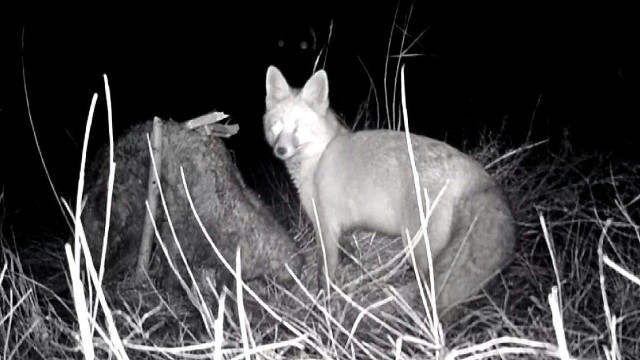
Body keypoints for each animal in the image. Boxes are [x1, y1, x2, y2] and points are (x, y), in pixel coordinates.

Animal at [262, 65, 516, 316]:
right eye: (277, 125)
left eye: (298, 127)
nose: (280, 150)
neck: (318, 157)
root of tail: (472, 168)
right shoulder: (339, 230)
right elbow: (346, 254)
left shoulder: (325, 226)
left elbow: (325, 274)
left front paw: (322, 303)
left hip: (418, 249)